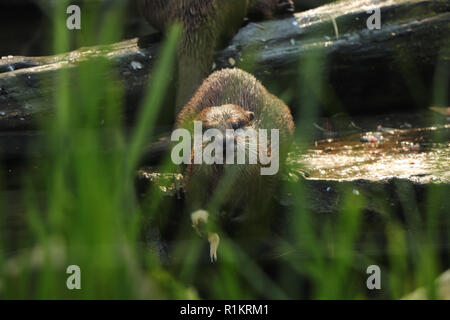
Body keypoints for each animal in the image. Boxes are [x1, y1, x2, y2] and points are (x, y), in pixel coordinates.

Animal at [174, 69, 294, 262]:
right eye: (207, 129)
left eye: (236, 125)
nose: (224, 140)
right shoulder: (196, 175)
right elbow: (194, 200)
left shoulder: (261, 179)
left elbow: (257, 207)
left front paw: (232, 220)